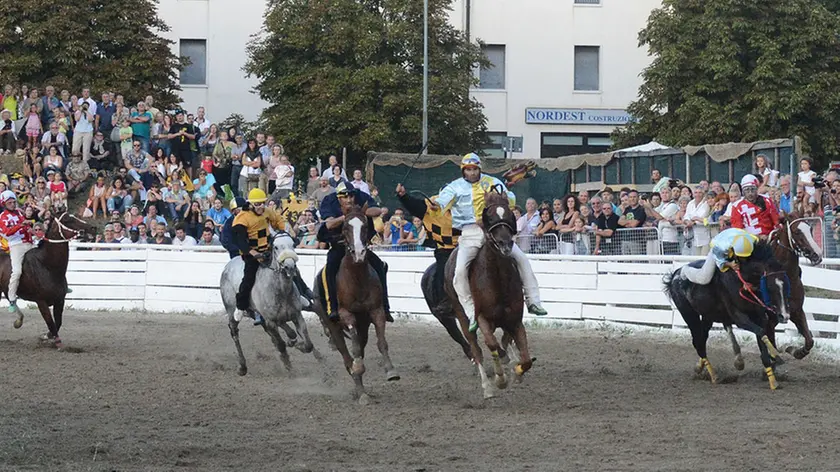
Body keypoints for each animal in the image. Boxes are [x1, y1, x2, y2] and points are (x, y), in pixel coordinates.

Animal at [0, 212, 95, 348]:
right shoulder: (41, 302)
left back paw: (18, 320)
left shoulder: (60, 300)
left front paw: (46, 336)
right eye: (67, 219)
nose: (92, 228)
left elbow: (58, 322)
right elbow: (50, 322)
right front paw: (56, 342)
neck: (46, 265)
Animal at [218, 233, 320, 376]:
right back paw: (242, 366)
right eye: (276, 247)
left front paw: (297, 344)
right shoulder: (270, 321)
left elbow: (308, 344)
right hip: (232, 311)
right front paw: (288, 364)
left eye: (293, 245)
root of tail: (228, 266)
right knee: (234, 332)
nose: (290, 266)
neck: (281, 291)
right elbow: (281, 344)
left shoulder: (297, 315)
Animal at [316, 203, 400, 406]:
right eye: (345, 227)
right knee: (347, 357)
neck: (357, 279)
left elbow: (382, 343)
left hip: (363, 326)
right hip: (333, 327)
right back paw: (360, 390)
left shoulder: (377, 312)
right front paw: (358, 368)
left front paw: (390, 370)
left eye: (365, 226)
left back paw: (361, 390)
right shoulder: (346, 315)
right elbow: (354, 351)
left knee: (359, 349)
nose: (360, 253)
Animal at [446, 190, 532, 400]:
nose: (505, 244)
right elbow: (491, 344)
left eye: (509, 215)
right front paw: (501, 379)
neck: (497, 280)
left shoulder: (515, 320)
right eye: (490, 217)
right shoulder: (482, 318)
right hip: (463, 318)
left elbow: (525, 357)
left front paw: (517, 372)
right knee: (477, 349)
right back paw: (487, 386)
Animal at [668, 242, 792, 390]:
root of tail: (676, 274)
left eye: (786, 285)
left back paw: (700, 367)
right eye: (770, 286)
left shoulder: (759, 318)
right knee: (698, 342)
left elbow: (762, 341)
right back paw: (714, 376)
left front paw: (773, 381)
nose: (784, 315)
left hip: (707, 316)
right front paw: (776, 355)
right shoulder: (739, 317)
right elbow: (761, 332)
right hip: (688, 314)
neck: (742, 280)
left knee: (701, 340)